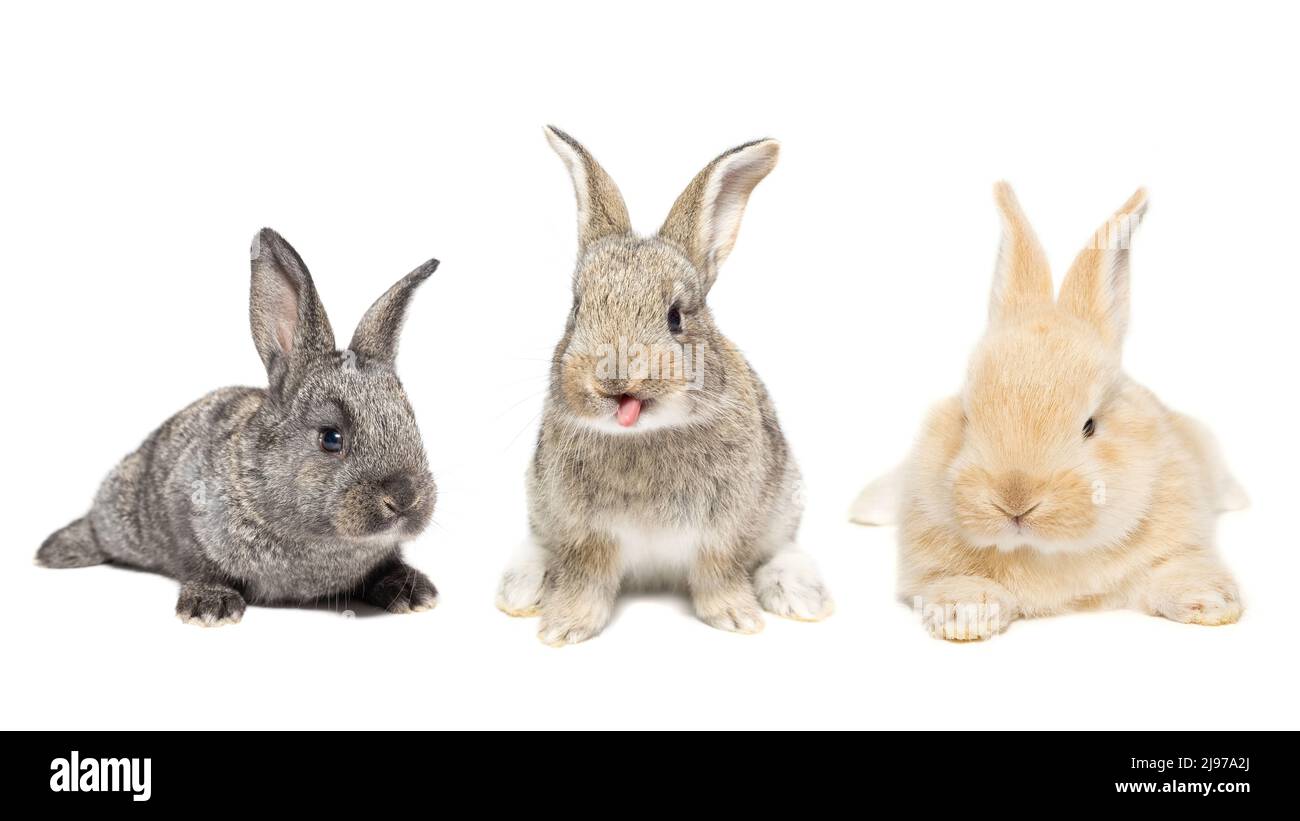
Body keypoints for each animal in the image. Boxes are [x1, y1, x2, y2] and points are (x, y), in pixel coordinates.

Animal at [36, 229, 441, 625]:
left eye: (411, 422)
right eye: (331, 437)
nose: (404, 498)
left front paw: (413, 593)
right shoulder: (189, 514)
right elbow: (199, 563)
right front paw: (210, 606)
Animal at [495, 126, 833, 645]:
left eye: (676, 317)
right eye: (577, 308)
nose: (614, 379)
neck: (644, 434)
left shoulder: (724, 528)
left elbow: (718, 570)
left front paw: (736, 618)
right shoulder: (585, 533)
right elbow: (586, 576)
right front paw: (565, 627)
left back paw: (799, 596)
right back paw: (523, 589)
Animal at [870, 183, 1246, 641]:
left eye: (1090, 425)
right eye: (966, 416)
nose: (1015, 500)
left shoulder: (1180, 535)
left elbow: (1178, 568)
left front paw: (1210, 602)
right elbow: (951, 581)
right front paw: (968, 614)